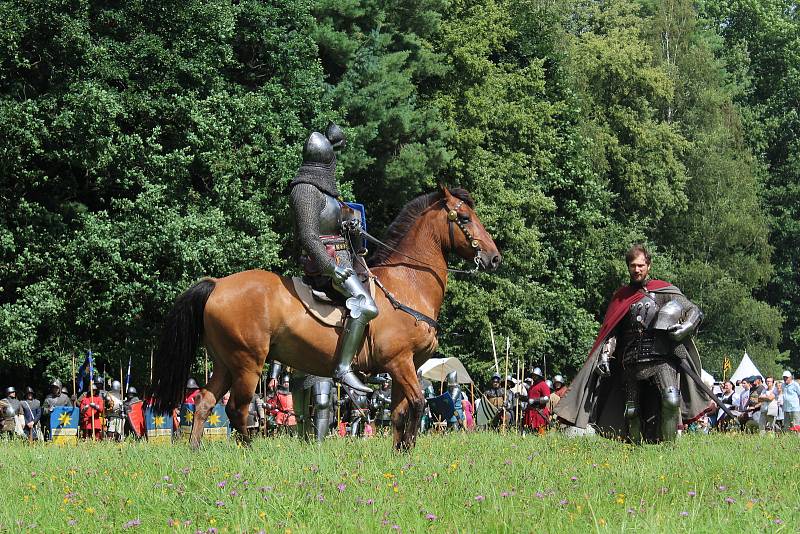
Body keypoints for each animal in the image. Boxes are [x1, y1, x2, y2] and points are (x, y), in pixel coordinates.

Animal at [151, 186, 500, 450]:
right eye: (464, 217)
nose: (494, 258)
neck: (408, 284)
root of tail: (218, 284)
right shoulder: (399, 362)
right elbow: (416, 405)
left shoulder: (408, 366)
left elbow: (402, 411)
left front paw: (402, 454)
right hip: (247, 363)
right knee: (237, 409)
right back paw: (249, 451)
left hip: (225, 363)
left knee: (204, 402)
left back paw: (196, 452)